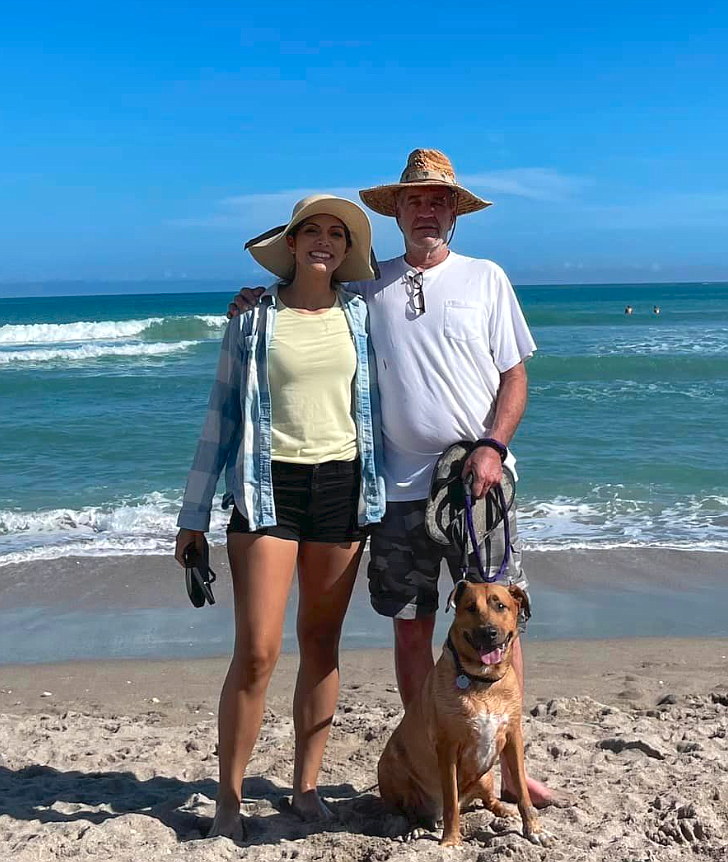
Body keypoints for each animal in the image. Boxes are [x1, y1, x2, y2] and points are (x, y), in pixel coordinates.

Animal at [376, 580, 552, 852]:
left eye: (500, 606)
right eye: (470, 607)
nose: (488, 632)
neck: (483, 681)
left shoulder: (513, 737)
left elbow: (522, 790)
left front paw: (534, 829)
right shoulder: (447, 747)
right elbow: (450, 802)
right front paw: (451, 841)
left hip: (486, 775)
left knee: (488, 800)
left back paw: (505, 811)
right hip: (389, 767)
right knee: (411, 811)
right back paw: (415, 828)